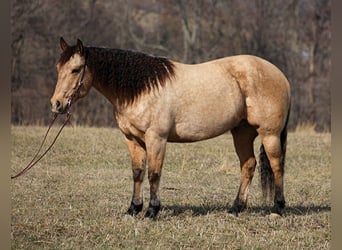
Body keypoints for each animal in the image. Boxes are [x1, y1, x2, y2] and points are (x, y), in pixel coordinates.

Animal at [51, 37, 292, 219]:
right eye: (58, 68)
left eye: (76, 70)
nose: (57, 104)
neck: (142, 88)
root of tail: (280, 75)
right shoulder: (132, 139)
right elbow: (137, 173)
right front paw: (133, 209)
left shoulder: (156, 138)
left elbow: (154, 174)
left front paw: (151, 211)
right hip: (242, 133)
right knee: (248, 165)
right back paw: (236, 208)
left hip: (269, 135)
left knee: (276, 165)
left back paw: (277, 208)